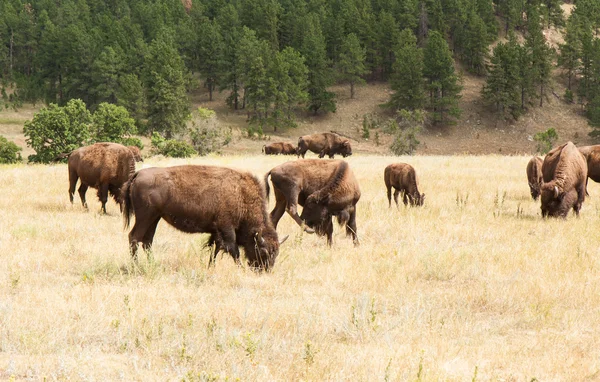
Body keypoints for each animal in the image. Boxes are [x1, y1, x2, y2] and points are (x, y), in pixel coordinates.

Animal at [121, 165, 286, 272]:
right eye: (263, 251)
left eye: (277, 253)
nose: (263, 270)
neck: (241, 193)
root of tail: (138, 174)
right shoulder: (226, 228)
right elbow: (233, 250)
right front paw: (241, 269)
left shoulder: (216, 231)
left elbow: (215, 249)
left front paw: (210, 267)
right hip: (145, 217)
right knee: (134, 237)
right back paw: (136, 267)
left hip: (155, 218)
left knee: (147, 241)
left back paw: (152, 264)